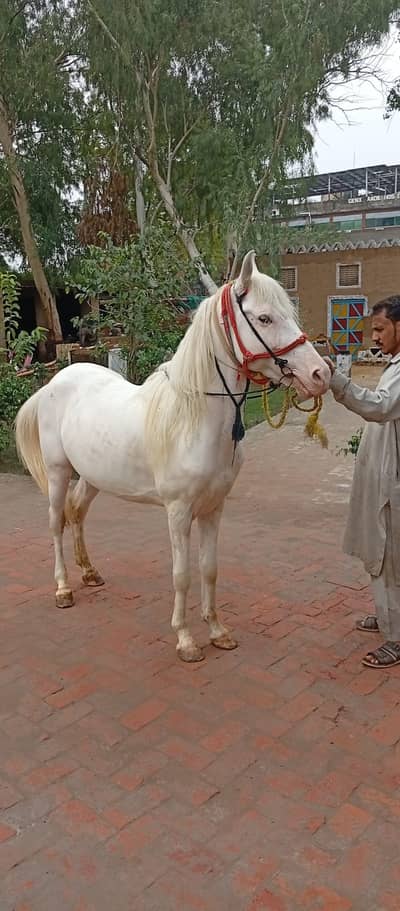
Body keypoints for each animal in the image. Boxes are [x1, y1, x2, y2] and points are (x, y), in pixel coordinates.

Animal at [15, 251, 331, 662]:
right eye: (264, 318)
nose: (320, 373)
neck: (194, 419)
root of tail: (53, 384)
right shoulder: (178, 512)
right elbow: (182, 574)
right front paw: (185, 640)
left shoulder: (214, 509)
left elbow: (209, 568)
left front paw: (217, 631)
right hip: (58, 473)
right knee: (56, 523)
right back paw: (64, 588)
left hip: (92, 477)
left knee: (77, 514)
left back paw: (90, 573)